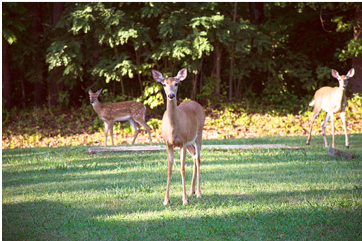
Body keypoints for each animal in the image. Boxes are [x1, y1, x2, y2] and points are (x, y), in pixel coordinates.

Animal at [151, 68, 205, 205]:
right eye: (164, 84)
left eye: (176, 83)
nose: (171, 95)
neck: (173, 129)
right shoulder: (168, 143)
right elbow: (169, 169)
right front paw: (166, 200)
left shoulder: (182, 143)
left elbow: (182, 169)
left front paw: (184, 200)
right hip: (189, 142)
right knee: (195, 155)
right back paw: (192, 191)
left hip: (199, 134)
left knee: (198, 158)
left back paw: (198, 193)